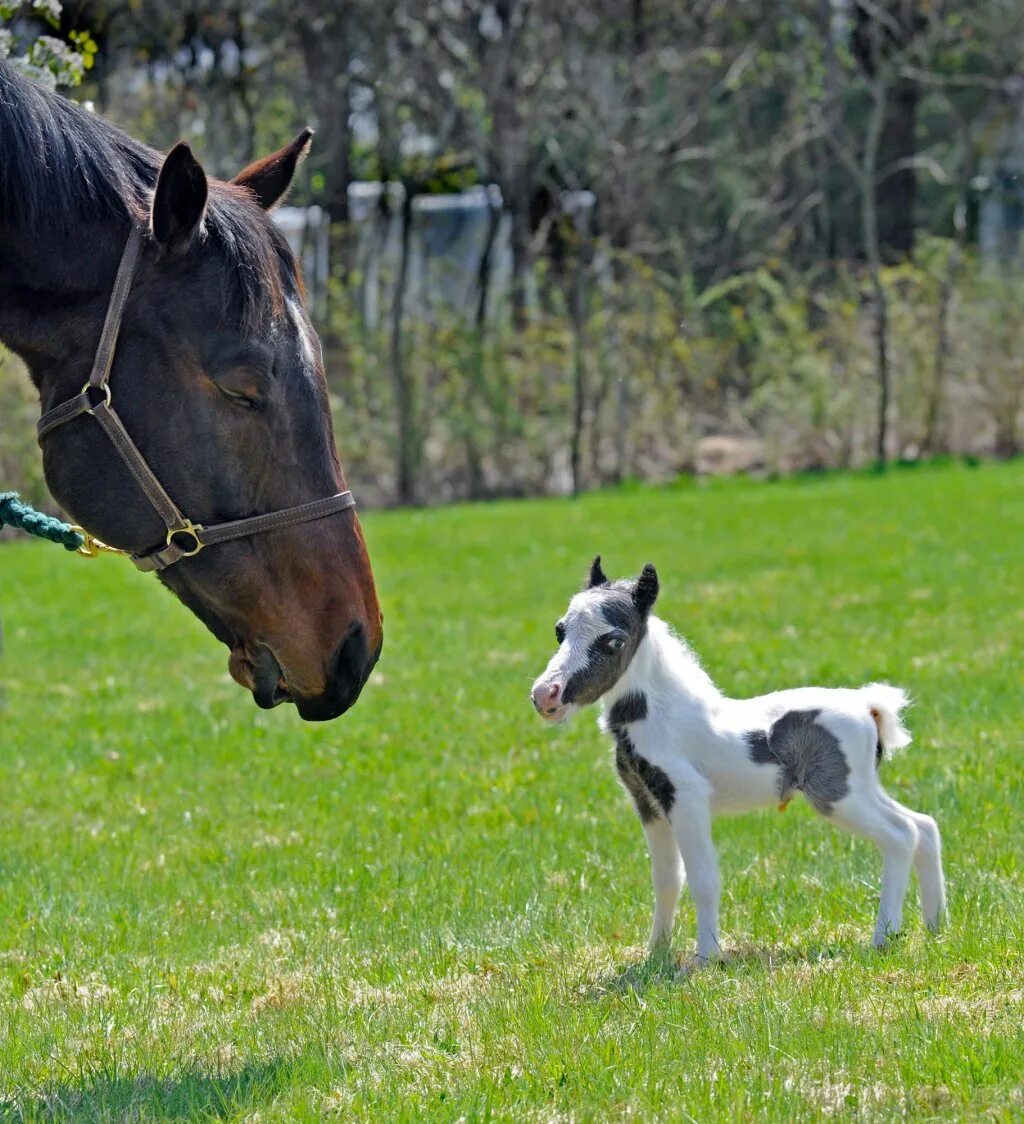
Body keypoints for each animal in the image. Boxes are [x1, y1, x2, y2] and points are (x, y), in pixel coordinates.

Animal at [532, 557, 948, 962]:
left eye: (614, 641)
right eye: (559, 631)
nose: (545, 695)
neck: (662, 716)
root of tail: (868, 706)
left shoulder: (687, 797)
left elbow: (703, 878)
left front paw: (706, 958)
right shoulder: (648, 803)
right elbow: (667, 880)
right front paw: (656, 954)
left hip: (837, 795)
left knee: (900, 835)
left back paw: (884, 936)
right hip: (860, 786)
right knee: (923, 825)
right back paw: (935, 927)